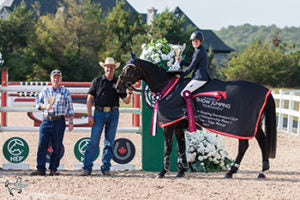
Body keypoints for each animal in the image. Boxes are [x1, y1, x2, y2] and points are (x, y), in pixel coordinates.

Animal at [116, 53, 276, 178]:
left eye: (129, 68)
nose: (118, 87)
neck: (168, 88)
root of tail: (265, 90)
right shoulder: (178, 126)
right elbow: (181, 147)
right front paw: (181, 171)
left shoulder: (169, 125)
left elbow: (168, 147)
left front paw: (162, 172)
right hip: (253, 125)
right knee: (261, 142)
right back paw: (261, 171)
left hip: (242, 126)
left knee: (244, 146)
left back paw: (231, 172)